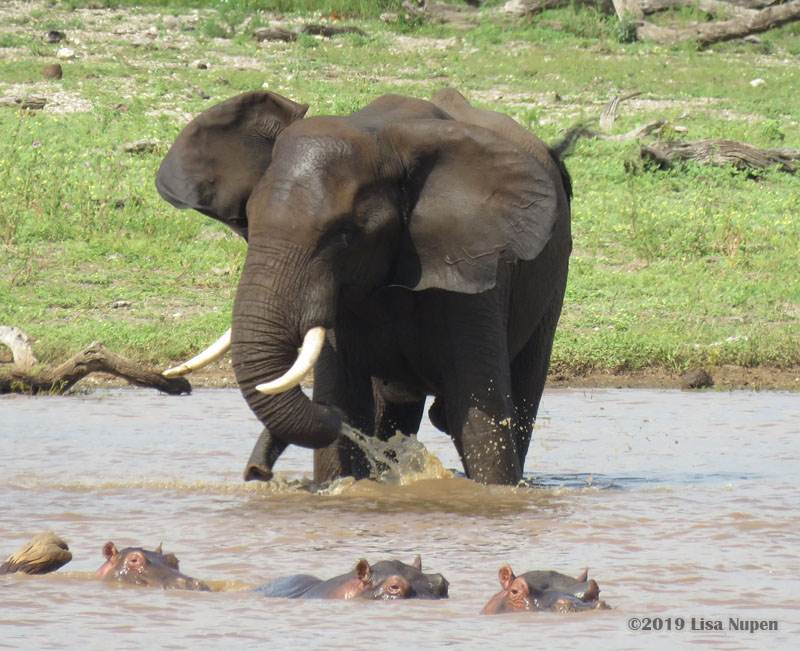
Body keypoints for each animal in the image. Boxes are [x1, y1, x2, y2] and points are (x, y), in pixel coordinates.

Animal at [156, 88, 574, 485]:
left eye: (345, 233)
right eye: (248, 223)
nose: (257, 472)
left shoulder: (471, 272)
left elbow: (480, 421)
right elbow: (346, 402)